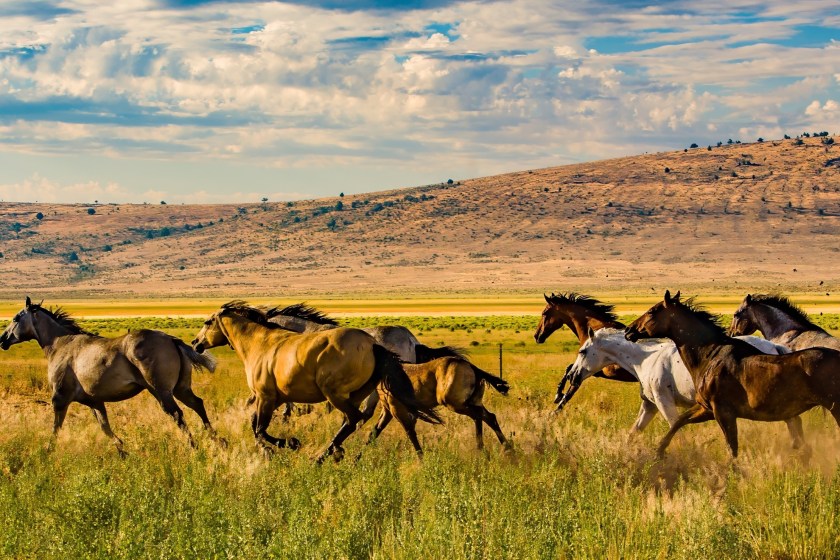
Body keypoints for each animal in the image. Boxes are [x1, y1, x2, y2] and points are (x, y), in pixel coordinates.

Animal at [0, 297, 218, 456]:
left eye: (16, 318)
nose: (2, 340)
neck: (61, 344)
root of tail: (171, 339)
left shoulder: (60, 398)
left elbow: (56, 428)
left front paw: (46, 453)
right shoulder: (94, 401)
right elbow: (105, 426)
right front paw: (123, 451)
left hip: (161, 391)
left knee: (177, 414)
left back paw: (194, 447)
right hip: (181, 388)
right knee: (197, 404)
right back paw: (218, 441)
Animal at [191, 301, 442, 461]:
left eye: (207, 322)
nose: (195, 343)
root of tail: (411, 339)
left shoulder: (267, 394)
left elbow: (261, 426)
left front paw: (284, 444)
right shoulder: (275, 395)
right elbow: (257, 422)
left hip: (357, 392)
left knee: (370, 418)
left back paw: (333, 454)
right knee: (379, 419)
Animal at [367, 356, 512, 451]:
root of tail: (472, 368)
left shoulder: (397, 410)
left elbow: (411, 435)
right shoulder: (387, 411)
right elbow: (374, 432)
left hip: (454, 404)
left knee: (479, 416)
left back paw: (483, 450)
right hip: (472, 402)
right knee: (488, 417)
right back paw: (507, 451)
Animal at [566, 327, 802, 443]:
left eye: (583, 351)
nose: (572, 376)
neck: (645, 360)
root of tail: (775, 347)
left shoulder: (664, 402)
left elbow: (675, 428)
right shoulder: (650, 405)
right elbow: (633, 433)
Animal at [625, 291, 840, 459]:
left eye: (652, 311)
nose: (629, 330)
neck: (710, 355)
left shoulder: (723, 412)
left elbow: (732, 448)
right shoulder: (706, 409)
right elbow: (678, 422)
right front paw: (659, 452)